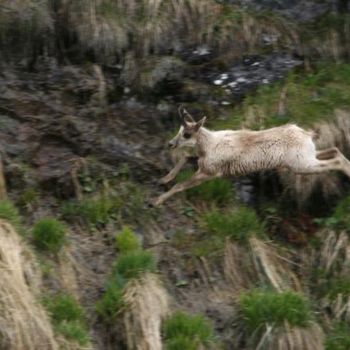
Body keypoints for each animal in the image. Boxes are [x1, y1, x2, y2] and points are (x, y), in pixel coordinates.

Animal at [152, 106, 350, 205]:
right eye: (179, 130)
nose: (170, 144)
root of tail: (306, 134)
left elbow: (180, 185)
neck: (209, 144)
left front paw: (156, 201)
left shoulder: (209, 172)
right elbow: (185, 157)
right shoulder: (203, 163)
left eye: (186, 134)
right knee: (334, 150)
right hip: (308, 156)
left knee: (335, 160)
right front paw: (163, 179)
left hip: (302, 165)